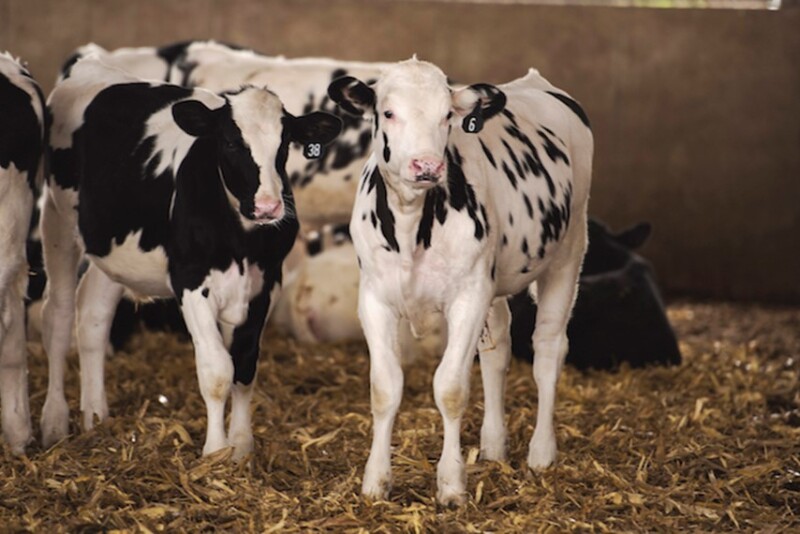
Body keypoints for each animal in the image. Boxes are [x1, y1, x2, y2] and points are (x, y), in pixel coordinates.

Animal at [39, 57, 341, 459]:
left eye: (284, 144)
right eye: (230, 142)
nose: (267, 206)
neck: (241, 240)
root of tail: (91, 65)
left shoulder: (266, 282)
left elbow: (244, 366)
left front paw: (241, 448)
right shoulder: (190, 279)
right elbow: (217, 370)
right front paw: (215, 451)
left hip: (112, 247)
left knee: (93, 315)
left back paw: (95, 417)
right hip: (57, 219)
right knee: (58, 315)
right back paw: (54, 421)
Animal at [328, 58, 593, 505]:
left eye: (446, 116)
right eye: (388, 112)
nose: (426, 166)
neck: (411, 221)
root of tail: (536, 82)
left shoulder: (468, 296)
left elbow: (451, 388)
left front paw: (451, 483)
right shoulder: (375, 299)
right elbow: (385, 388)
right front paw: (375, 481)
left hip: (569, 250)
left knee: (548, 351)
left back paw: (542, 452)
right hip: (496, 283)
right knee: (497, 350)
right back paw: (493, 445)